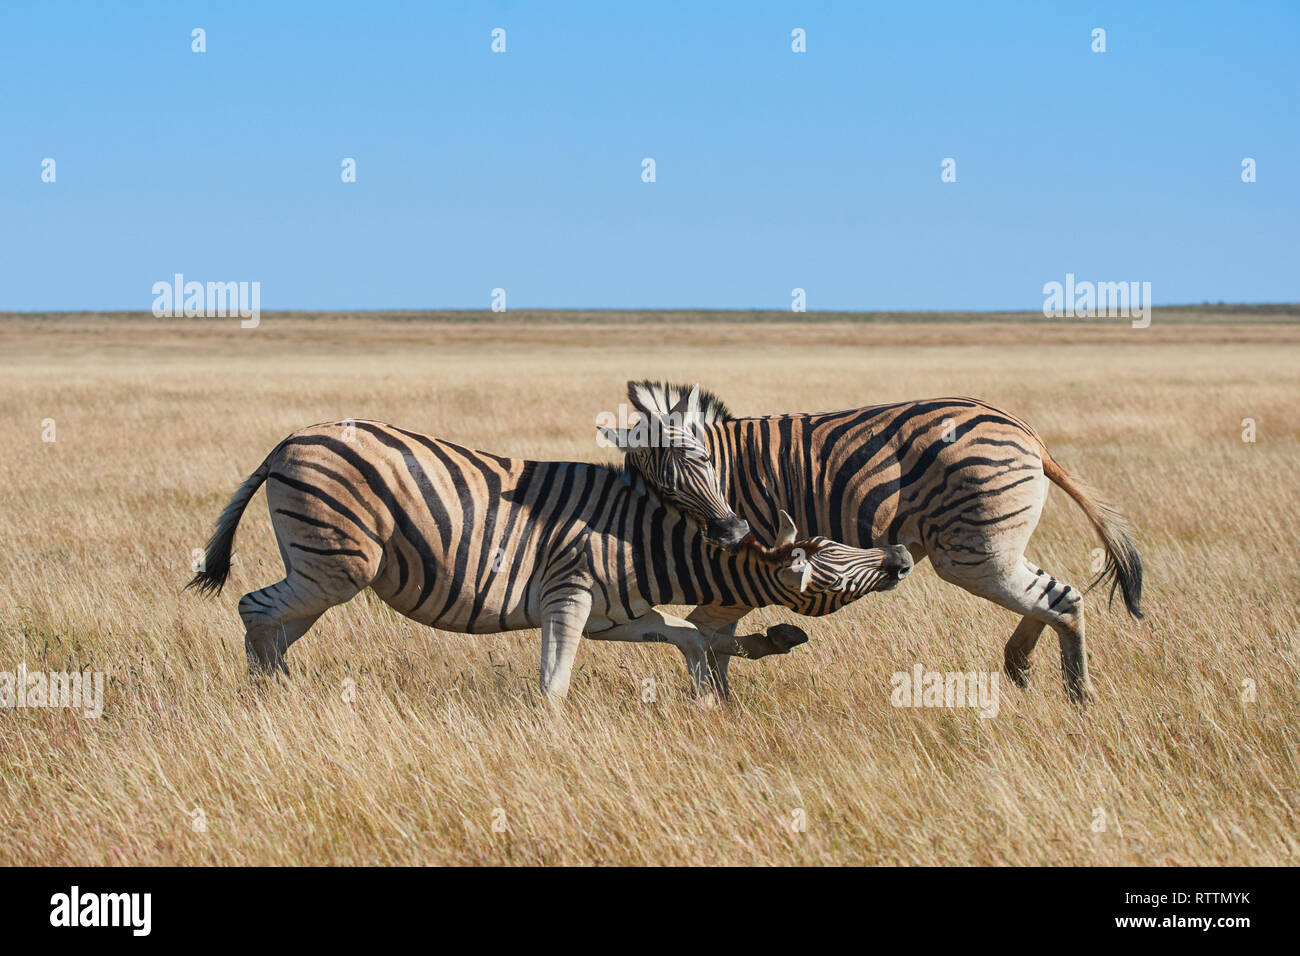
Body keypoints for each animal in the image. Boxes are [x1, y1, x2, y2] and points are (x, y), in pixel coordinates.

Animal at [188, 416, 909, 697]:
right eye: (832, 567)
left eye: (835, 545)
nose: (901, 554)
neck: (642, 544)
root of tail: (288, 442)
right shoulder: (569, 597)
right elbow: (554, 681)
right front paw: (551, 734)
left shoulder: (618, 618)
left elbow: (689, 636)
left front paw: (714, 687)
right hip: (335, 564)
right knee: (256, 609)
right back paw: (267, 701)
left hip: (323, 569)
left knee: (275, 626)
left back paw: (280, 693)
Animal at [618, 382, 1138, 702]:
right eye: (664, 490)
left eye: (706, 464)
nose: (733, 534)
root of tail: (1023, 430)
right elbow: (710, 636)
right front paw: (721, 701)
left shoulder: (748, 575)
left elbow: (704, 633)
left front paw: (712, 700)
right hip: (992, 547)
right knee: (1055, 596)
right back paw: (1021, 665)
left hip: (972, 552)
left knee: (1058, 599)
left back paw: (1078, 697)